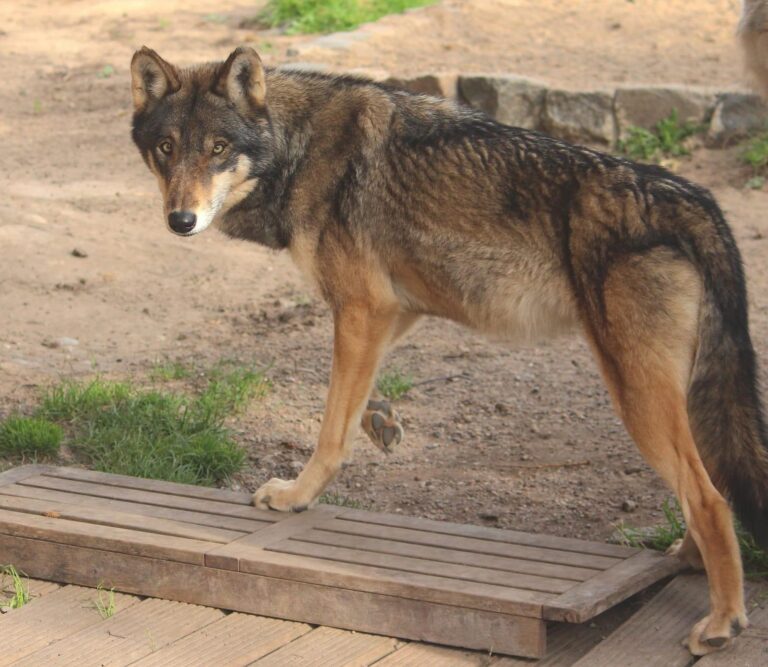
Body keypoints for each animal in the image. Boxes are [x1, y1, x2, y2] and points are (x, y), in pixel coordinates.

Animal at [130, 47, 768, 656]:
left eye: (217, 148)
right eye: (166, 148)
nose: (181, 219)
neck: (299, 147)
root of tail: (695, 199)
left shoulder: (361, 307)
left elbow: (330, 427)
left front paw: (296, 496)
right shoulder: (395, 308)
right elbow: (348, 400)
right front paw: (381, 420)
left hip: (636, 396)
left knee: (709, 498)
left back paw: (721, 622)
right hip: (677, 395)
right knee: (711, 484)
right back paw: (686, 561)